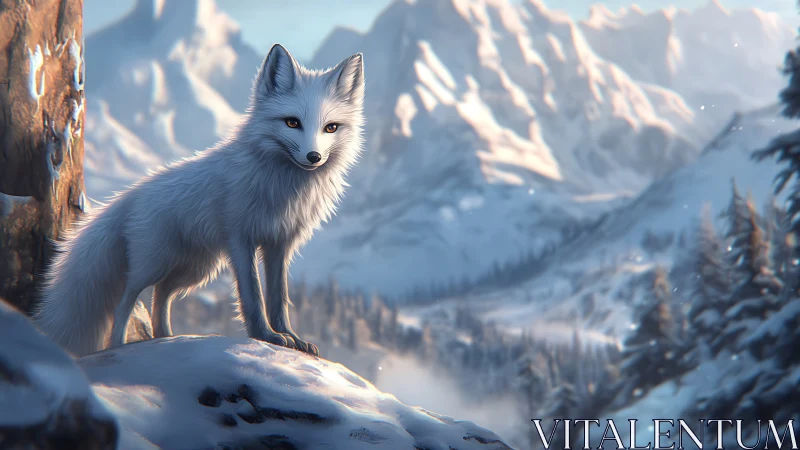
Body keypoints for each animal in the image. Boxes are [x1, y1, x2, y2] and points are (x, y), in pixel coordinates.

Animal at [33, 44, 365, 357]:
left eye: (331, 127)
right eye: (292, 123)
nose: (314, 156)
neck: (283, 186)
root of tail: (132, 193)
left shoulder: (279, 244)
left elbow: (279, 297)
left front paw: (290, 338)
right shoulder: (240, 239)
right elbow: (253, 295)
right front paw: (265, 336)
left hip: (196, 268)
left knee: (161, 295)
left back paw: (166, 338)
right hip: (155, 263)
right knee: (127, 298)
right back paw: (119, 346)